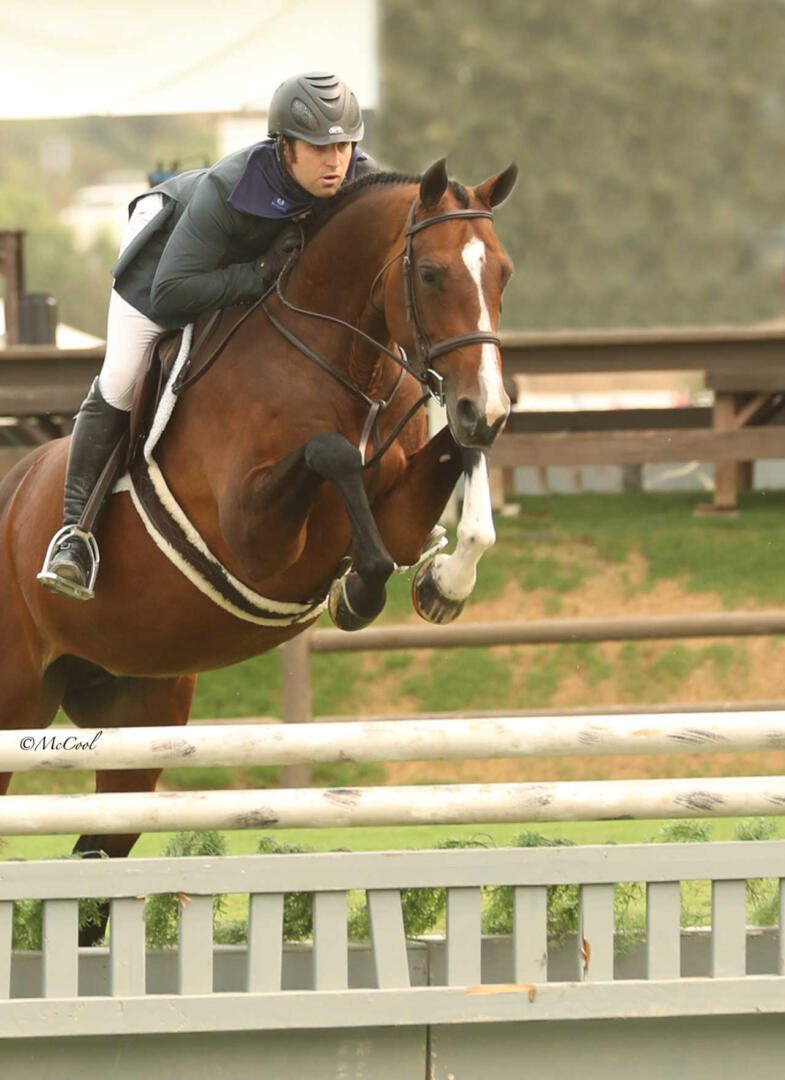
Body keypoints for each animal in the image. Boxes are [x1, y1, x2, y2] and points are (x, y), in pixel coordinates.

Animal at [0, 157, 516, 937]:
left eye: (503, 274)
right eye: (429, 274)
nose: (485, 410)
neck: (343, 361)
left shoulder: (399, 507)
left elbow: (446, 484)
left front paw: (442, 585)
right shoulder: (255, 536)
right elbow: (331, 453)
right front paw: (357, 592)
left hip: (135, 714)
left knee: (96, 860)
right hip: (15, 700)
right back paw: (69, 558)